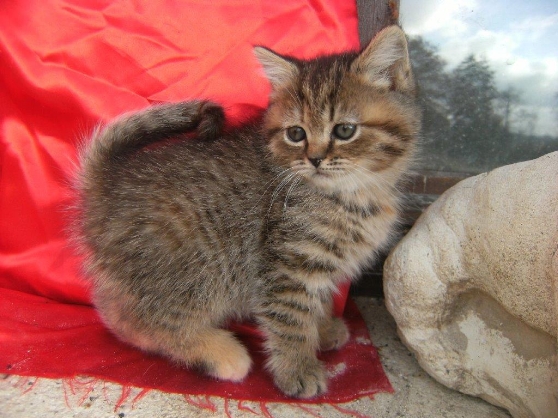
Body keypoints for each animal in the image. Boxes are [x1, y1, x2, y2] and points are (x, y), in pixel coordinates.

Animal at [77, 26, 420, 398]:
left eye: (344, 130)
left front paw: (324, 327)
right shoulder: (286, 263)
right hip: (200, 264)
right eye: (296, 134)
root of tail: (108, 180)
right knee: (137, 320)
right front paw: (298, 368)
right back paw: (219, 353)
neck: (354, 193)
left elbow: (317, 300)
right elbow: (291, 316)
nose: (314, 159)